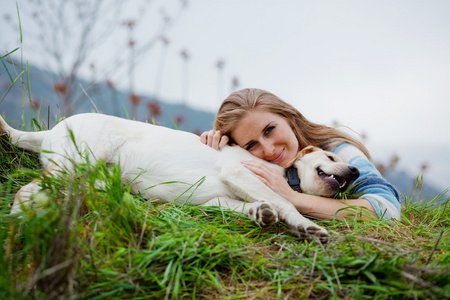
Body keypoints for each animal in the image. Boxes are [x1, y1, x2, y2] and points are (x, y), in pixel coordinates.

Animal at [0, 113, 358, 243]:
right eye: (331, 158)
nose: (355, 171)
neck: (287, 173)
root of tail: (52, 129)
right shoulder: (240, 173)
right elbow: (285, 201)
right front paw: (306, 225)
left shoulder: (218, 198)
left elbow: (254, 206)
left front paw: (260, 213)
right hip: (75, 162)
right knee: (26, 190)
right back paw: (19, 218)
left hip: (87, 176)